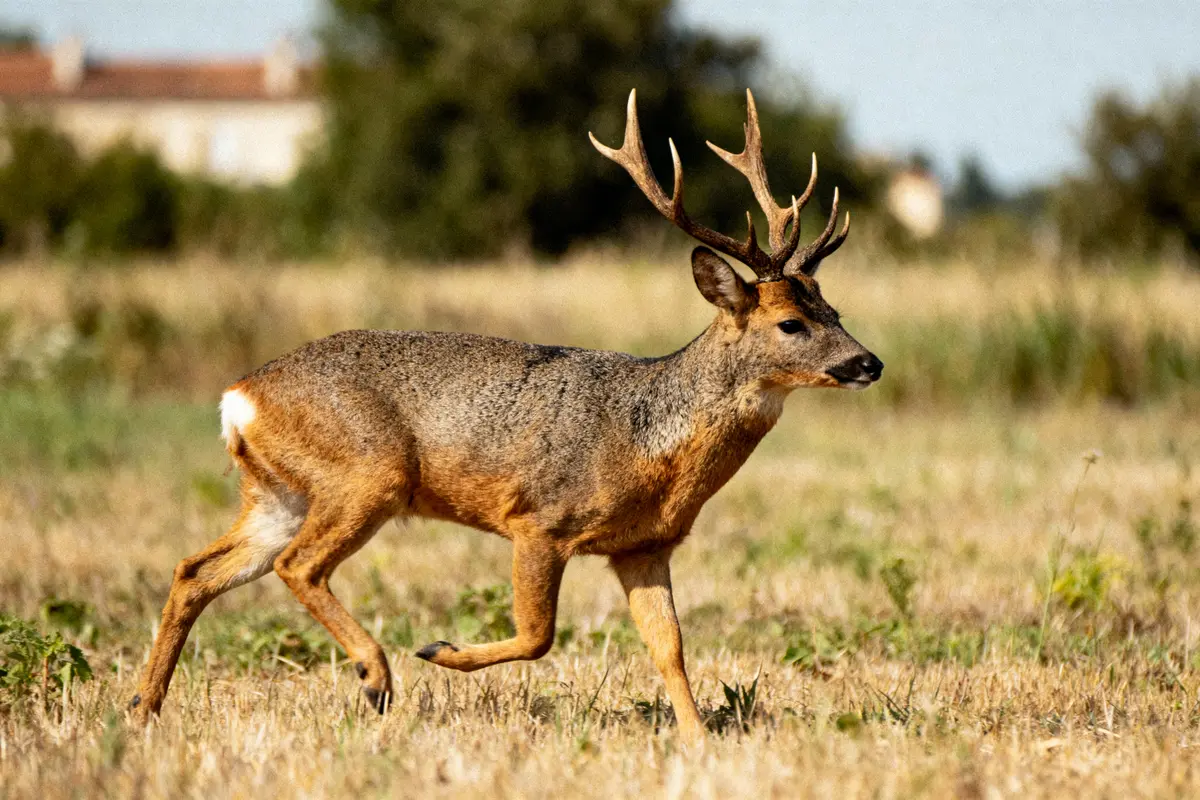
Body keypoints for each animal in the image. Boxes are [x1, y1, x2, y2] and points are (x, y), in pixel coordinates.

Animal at [131, 89, 882, 739]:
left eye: (834, 310)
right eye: (789, 323)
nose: (869, 362)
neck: (651, 445)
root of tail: (239, 396)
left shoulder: (643, 546)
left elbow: (670, 647)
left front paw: (699, 743)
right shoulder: (540, 520)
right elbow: (540, 635)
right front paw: (438, 650)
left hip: (279, 492)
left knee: (197, 570)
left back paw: (144, 706)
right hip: (368, 474)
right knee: (299, 565)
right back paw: (375, 675)